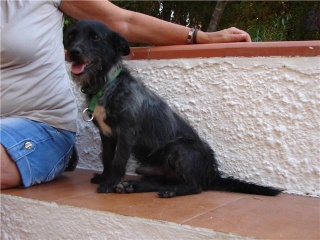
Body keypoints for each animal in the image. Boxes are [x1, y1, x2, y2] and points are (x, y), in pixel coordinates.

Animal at [63, 20, 282, 197]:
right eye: (72, 35)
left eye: (95, 37)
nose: (73, 53)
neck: (106, 84)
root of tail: (212, 174)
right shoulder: (107, 134)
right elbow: (107, 158)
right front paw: (105, 178)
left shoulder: (126, 132)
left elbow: (118, 161)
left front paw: (109, 184)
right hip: (148, 168)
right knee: (159, 181)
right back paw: (133, 187)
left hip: (178, 149)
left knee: (195, 186)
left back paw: (171, 191)